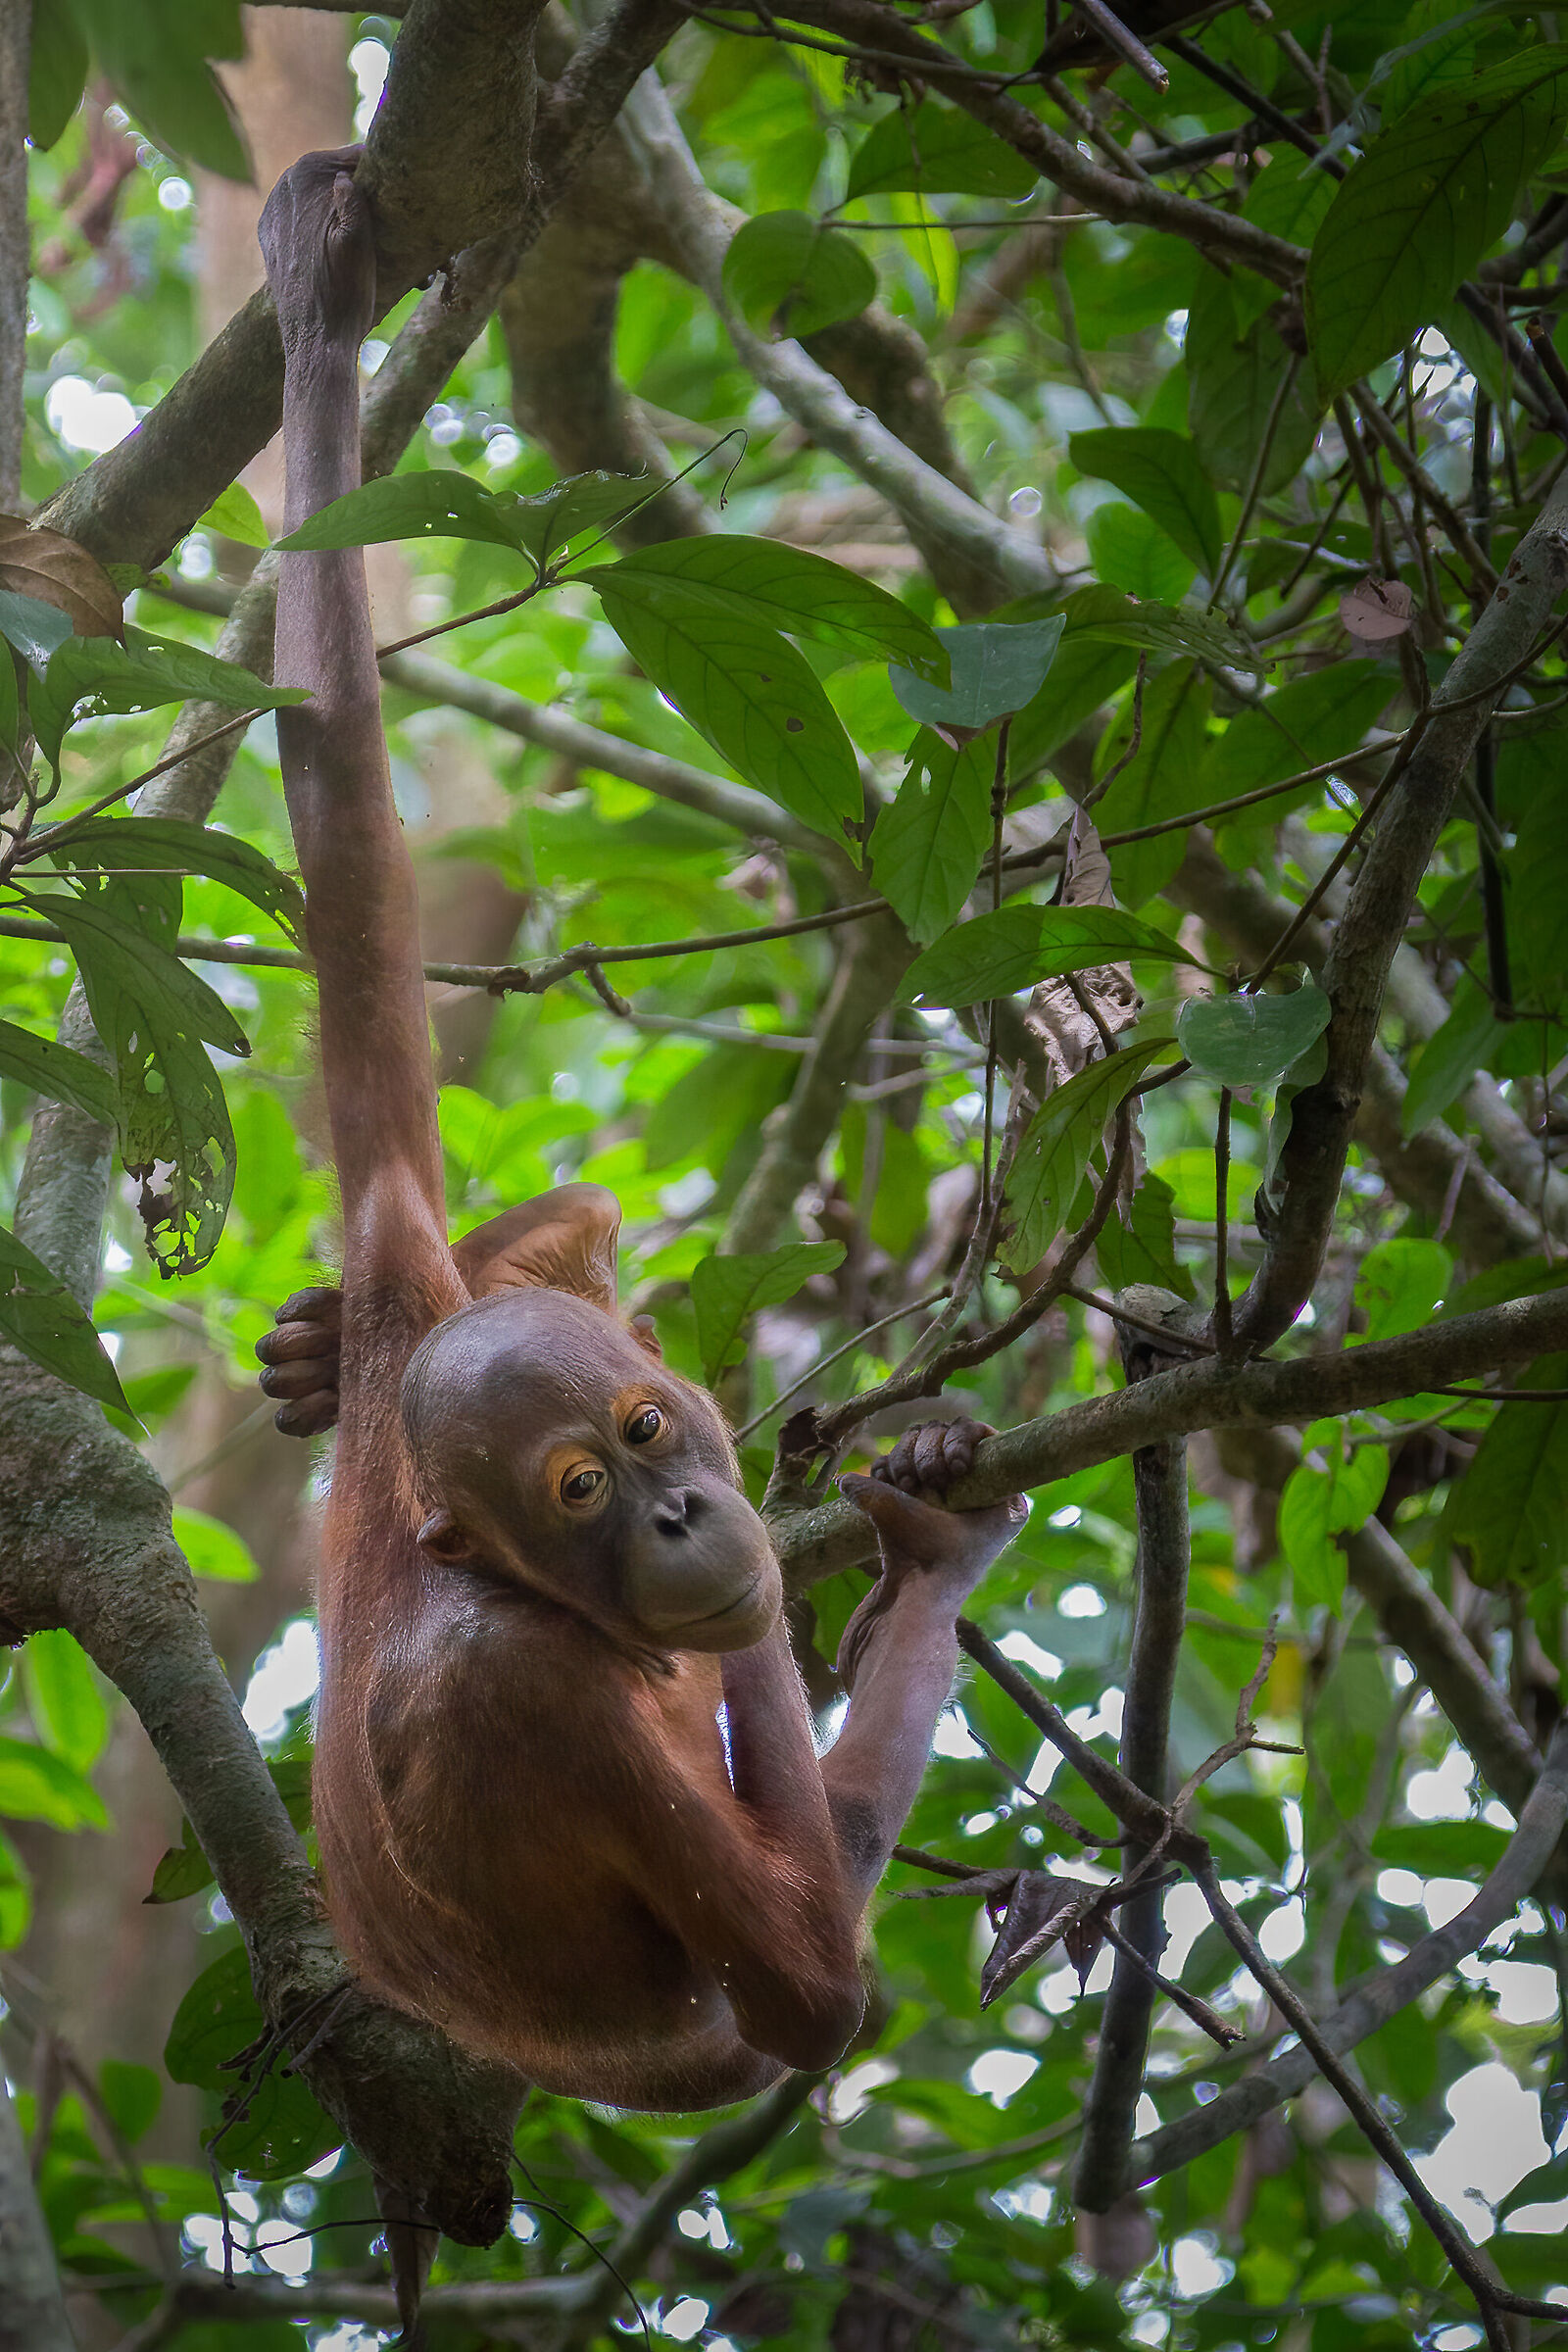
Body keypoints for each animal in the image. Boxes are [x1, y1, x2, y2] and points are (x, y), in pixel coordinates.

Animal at [255, 149, 1027, 2113]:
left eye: (644, 1429)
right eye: (585, 1490)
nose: (686, 1505)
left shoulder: (400, 1241)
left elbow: (341, 803)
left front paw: (323, 308)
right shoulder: (548, 1707)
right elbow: (815, 1991)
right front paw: (911, 1559)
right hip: (685, 2041)